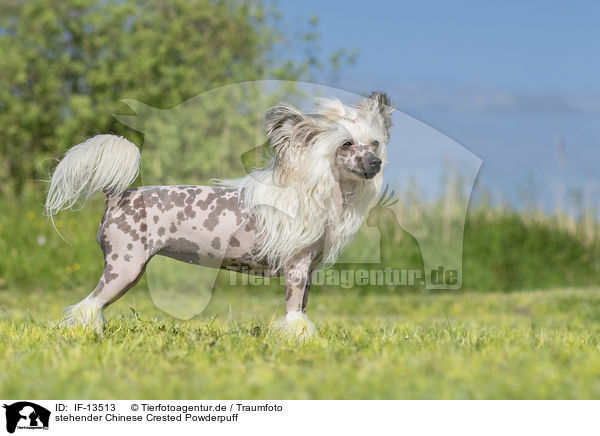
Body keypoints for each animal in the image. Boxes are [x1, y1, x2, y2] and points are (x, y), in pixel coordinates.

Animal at [44, 91, 396, 338]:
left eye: (375, 144)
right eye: (345, 145)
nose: (376, 163)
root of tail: (118, 195)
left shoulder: (306, 273)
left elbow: (300, 311)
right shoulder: (296, 269)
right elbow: (295, 314)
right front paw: (300, 338)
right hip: (125, 268)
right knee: (88, 306)